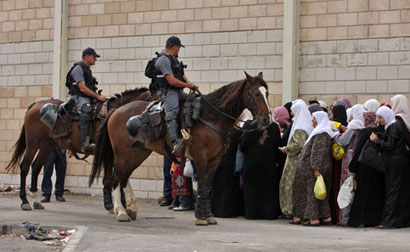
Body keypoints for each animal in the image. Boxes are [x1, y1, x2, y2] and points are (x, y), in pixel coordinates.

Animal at [5, 86, 151, 211]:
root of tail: (34, 105)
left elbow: (121, 176)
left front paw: (123, 205)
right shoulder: (110, 154)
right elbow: (111, 178)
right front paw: (111, 205)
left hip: (47, 144)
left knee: (35, 167)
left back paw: (36, 200)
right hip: (33, 143)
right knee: (24, 167)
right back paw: (25, 201)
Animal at [89, 72, 272, 223]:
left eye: (267, 93)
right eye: (257, 94)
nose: (266, 120)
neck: (212, 117)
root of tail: (116, 111)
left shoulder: (215, 160)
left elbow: (208, 188)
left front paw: (209, 216)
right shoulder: (200, 157)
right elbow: (203, 186)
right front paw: (200, 217)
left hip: (137, 154)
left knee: (124, 177)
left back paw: (131, 209)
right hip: (122, 154)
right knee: (115, 178)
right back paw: (121, 212)